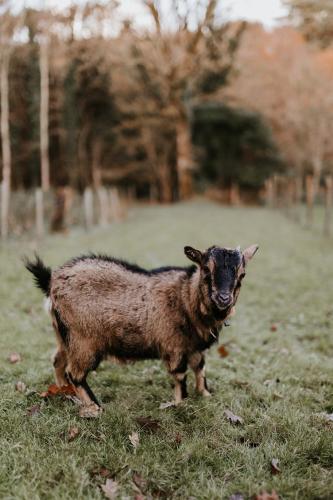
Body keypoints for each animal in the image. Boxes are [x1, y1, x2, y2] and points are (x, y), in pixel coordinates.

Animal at [26, 244, 258, 416]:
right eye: (206, 269)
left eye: (242, 274)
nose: (223, 298)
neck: (185, 297)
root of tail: (51, 281)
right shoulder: (173, 345)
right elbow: (180, 375)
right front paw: (181, 403)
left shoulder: (194, 346)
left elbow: (200, 368)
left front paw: (206, 395)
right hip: (85, 340)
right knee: (75, 373)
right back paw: (95, 407)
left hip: (65, 336)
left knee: (58, 361)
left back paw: (65, 392)